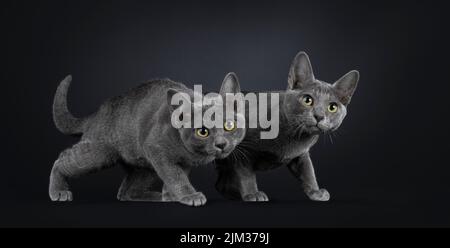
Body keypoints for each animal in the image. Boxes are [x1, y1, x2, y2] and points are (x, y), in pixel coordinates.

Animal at [49, 72, 244, 206]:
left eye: (229, 125)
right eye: (202, 132)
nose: (221, 144)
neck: (194, 155)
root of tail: (97, 113)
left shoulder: (180, 162)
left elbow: (175, 175)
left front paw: (170, 196)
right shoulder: (156, 150)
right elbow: (175, 175)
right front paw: (189, 196)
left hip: (145, 166)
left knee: (126, 192)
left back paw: (157, 196)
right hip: (100, 153)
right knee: (62, 160)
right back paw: (59, 191)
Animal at [216, 51, 360, 202]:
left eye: (332, 107)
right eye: (307, 100)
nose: (319, 116)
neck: (295, 136)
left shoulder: (301, 154)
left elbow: (308, 171)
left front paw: (315, 191)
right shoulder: (243, 151)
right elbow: (246, 175)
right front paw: (253, 194)